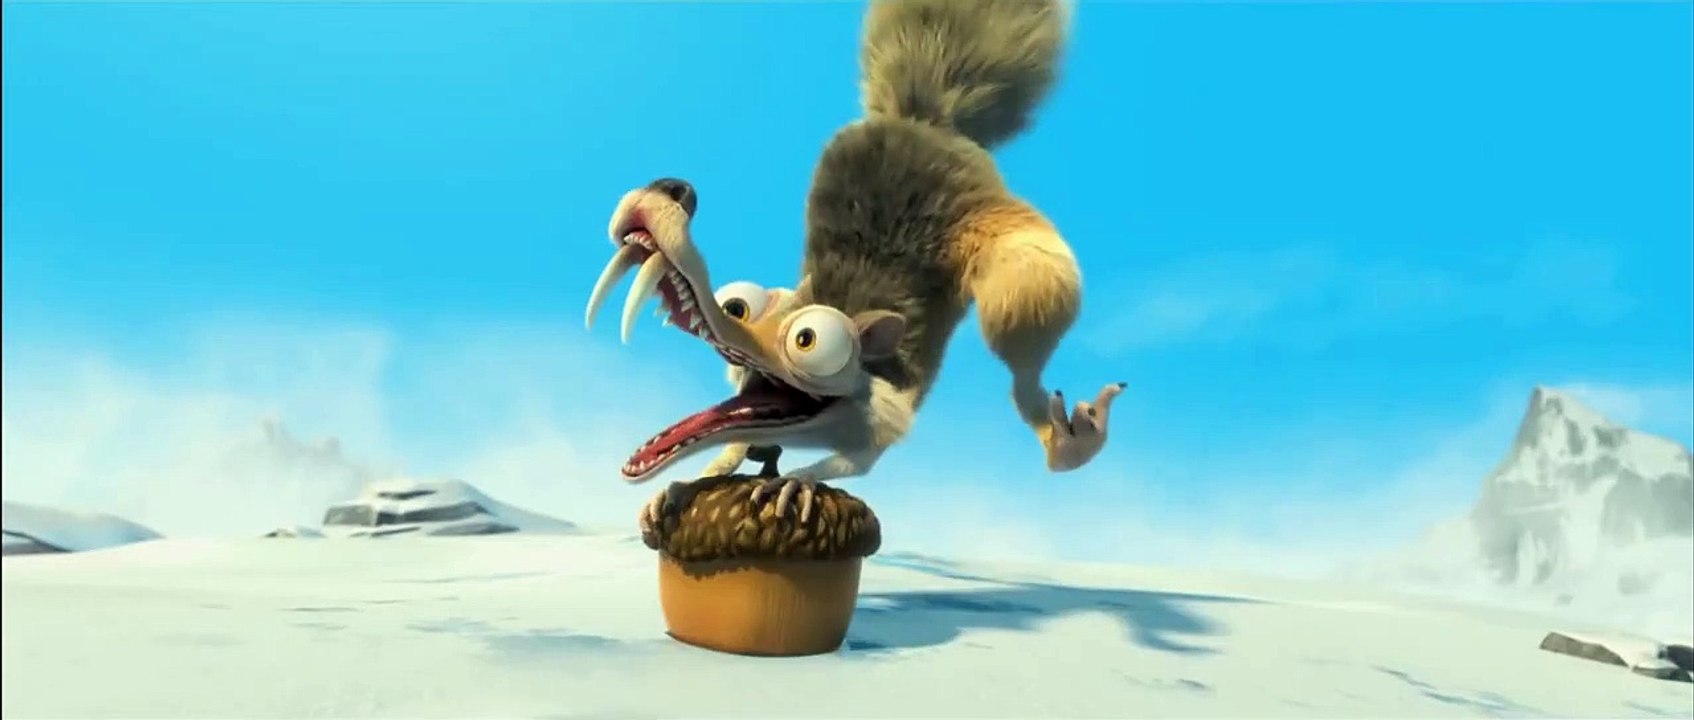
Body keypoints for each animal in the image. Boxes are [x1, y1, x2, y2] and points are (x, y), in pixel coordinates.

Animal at [583, 0, 1126, 527]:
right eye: (737, 307)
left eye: (807, 341)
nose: (672, 192)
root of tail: (922, 118)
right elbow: (737, 439)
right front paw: (690, 482)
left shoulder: (884, 414)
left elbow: (856, 462)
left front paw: (795, 480)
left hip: (1001, 237)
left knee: (1026, 317)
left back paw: (1065, 437)